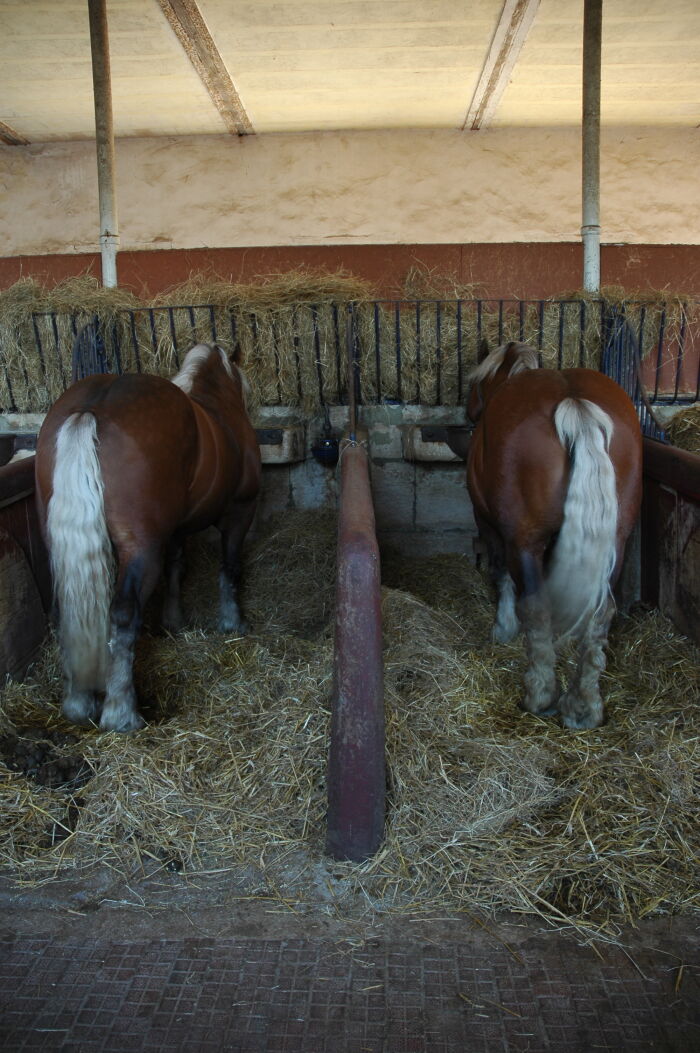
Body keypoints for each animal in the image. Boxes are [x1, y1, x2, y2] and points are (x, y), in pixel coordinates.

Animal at [34, 343, 261, 732]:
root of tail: (92, 408)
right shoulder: (239, 513)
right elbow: (229, 568)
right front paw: (233, 622)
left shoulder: (174, 529)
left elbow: (176, 567)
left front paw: (174, 620)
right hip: (140, 549)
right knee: (124, 614)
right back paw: (121, 713)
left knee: (68, 610)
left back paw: (79, 702)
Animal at [467, 341, 640, 728]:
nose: (470, 411)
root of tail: (574, 404)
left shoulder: (492, 527)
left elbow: (502, 575)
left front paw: (503, 629)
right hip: (617, 544)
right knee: (600, 613)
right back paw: (584, 706)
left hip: (525, 540)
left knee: (538, 604)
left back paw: (540, 695)